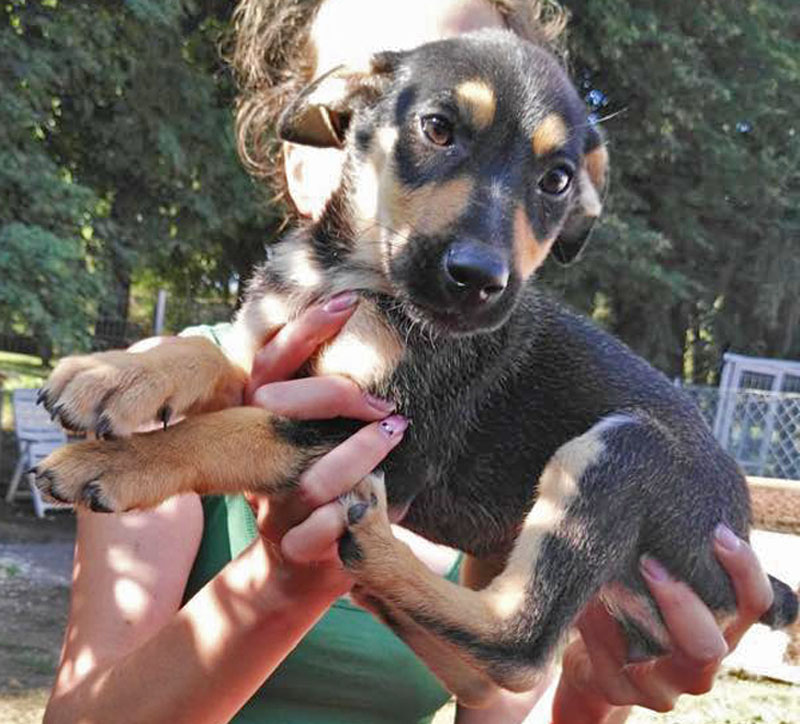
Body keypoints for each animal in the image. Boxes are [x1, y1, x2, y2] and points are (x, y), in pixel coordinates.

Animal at [34, 31, 796, 704]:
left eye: (556, 180)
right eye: (437, 129)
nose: (479, 281)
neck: (348, 274)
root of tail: (741, 531)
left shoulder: (385, 434)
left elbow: (229, 431)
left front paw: (114, 462)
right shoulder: (266, 356)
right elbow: (207, 356)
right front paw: (116, 372)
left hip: (620, 454)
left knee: (520, 645)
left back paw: (376, 553)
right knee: (489, 668)